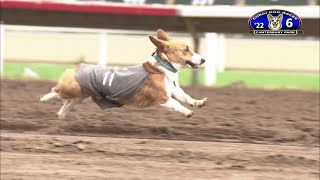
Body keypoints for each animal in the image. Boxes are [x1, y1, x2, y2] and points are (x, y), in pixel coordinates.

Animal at [40, 29, 208, 118]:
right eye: (186, 49)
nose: (203, 59)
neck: (163, 67)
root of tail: (77, 68)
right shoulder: (163, 98)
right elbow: (177, 104)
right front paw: (187, 112)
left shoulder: (174, 90)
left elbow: (186, 97)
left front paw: (199, 102)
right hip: (72, 89)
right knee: (56, 91)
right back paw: (44, 98)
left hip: (79, 97)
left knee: (65, 105)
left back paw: (61, 115)